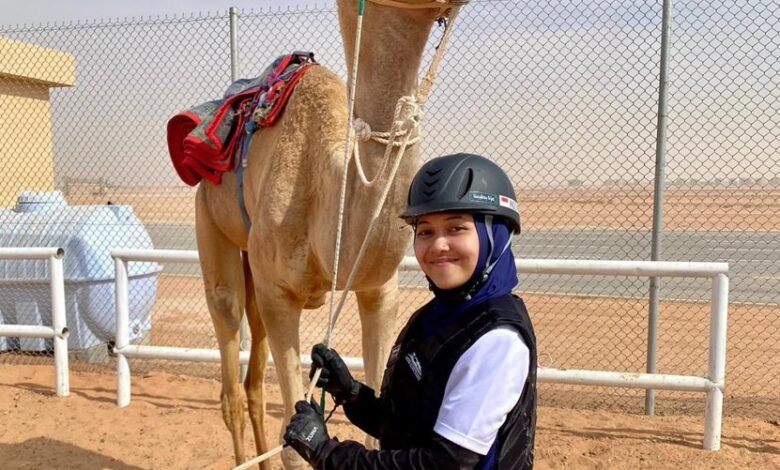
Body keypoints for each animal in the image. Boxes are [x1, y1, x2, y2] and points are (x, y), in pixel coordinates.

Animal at [194, 0, 466, 467]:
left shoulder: (379, 290)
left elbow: (379, 427)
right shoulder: (280, 296)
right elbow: (293, 449)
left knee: (252, 380)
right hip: (209, 216)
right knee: (228, 343)